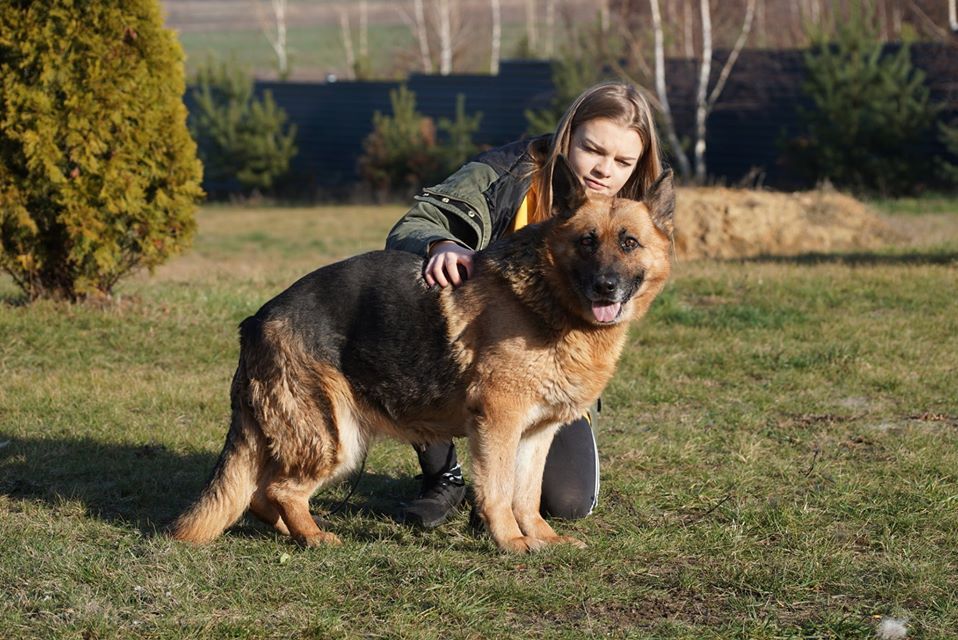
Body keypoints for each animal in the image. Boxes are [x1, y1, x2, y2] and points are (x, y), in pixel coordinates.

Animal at [171, 158, 676, 552]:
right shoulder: (498, 421)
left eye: (628, 242)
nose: (605, 287)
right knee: (280, 488)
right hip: (339, 437)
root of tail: (257, 321)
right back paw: (312, 536)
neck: (549, 299)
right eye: (587, 241)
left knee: (261, 493)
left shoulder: (537, 432)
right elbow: (497, 490)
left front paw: (541, 538)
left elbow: (527, 495)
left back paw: (293, 532)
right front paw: (511, 542)